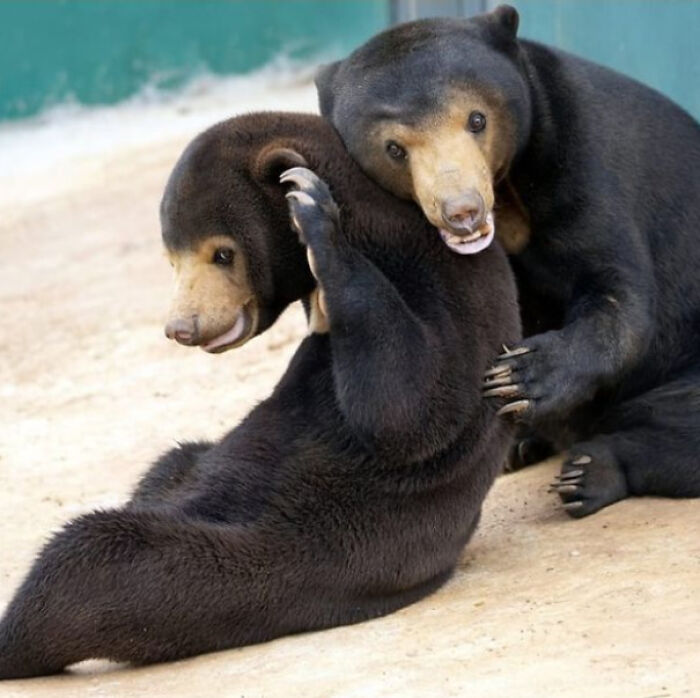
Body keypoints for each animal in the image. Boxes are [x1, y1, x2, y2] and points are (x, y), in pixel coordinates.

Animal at [0, 112, 520, 679]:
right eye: (171, 258)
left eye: (222, 253)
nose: (182, 328)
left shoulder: (456, 292)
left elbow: (409, 406)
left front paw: (310, 206)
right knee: (171, 461)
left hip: (250, 567)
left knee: (86, 560)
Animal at [315, 5, 700, 517]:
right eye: (394, 148)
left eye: (477, 119)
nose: (462, 211)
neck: (510, 205)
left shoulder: (582, 161)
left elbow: (619, 294)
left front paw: (519, 377)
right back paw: (524, 446)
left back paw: (588, 472)